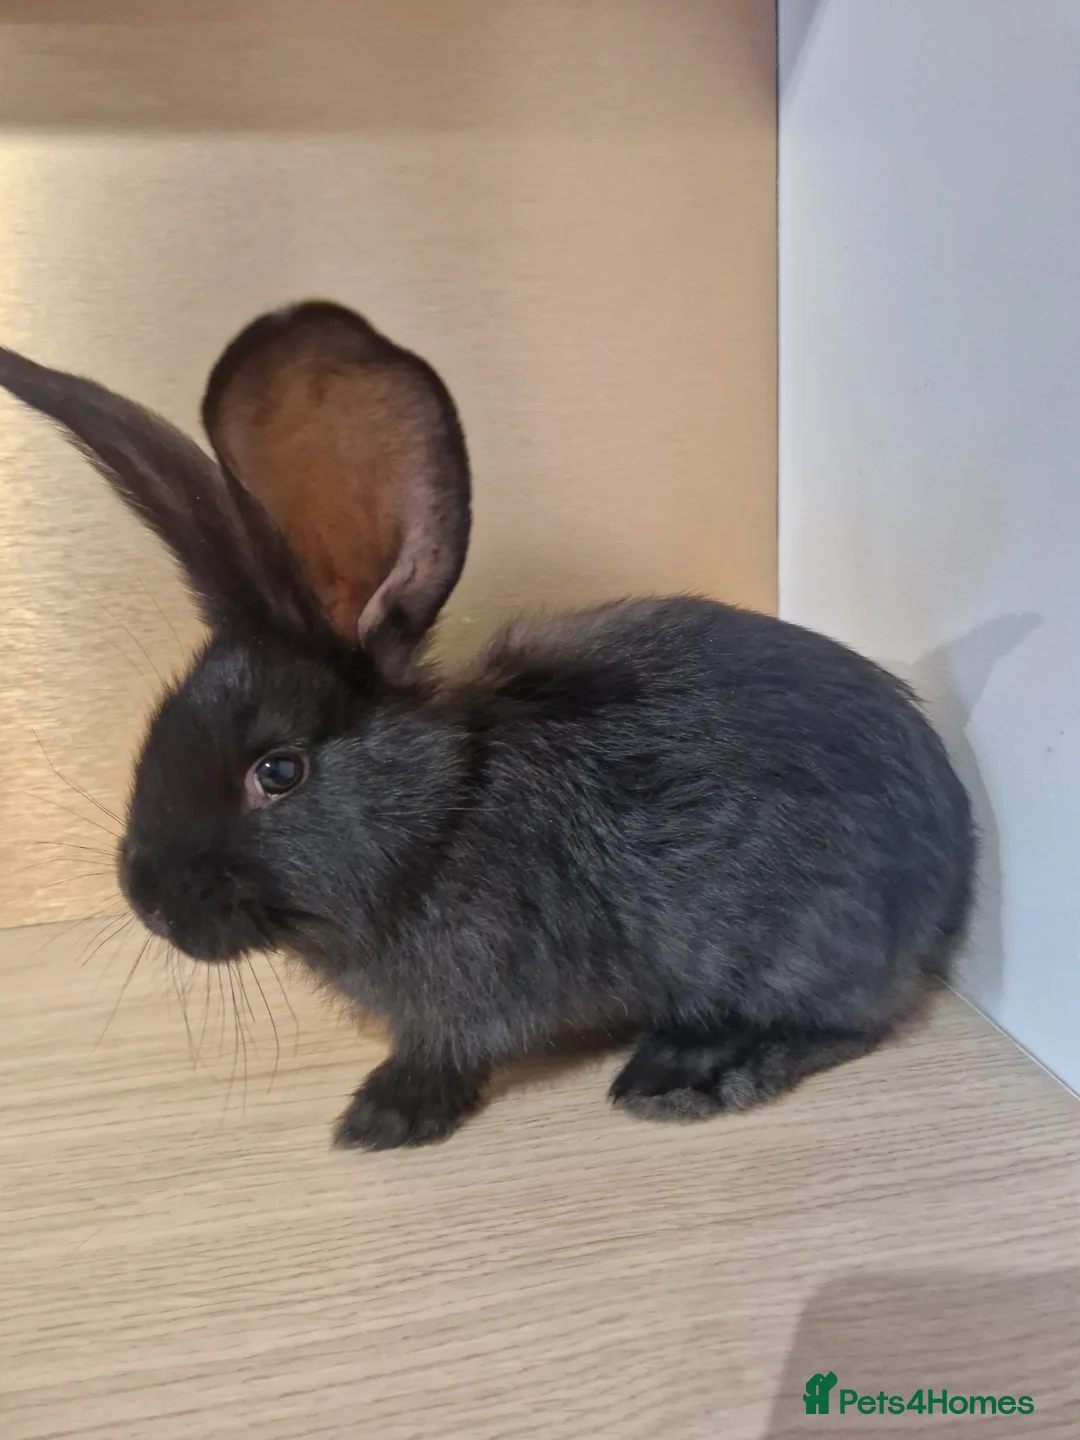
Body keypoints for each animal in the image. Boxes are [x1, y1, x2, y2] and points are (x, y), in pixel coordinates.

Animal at [0, 302, 975, 1150]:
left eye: (277, 772)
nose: (146, 900)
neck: (444, 815)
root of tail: (953, 857)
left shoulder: (478, 991)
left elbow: (450, 1050)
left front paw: (381, 1117)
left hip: (799, 939)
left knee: (850, 1022)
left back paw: (688, 1071)